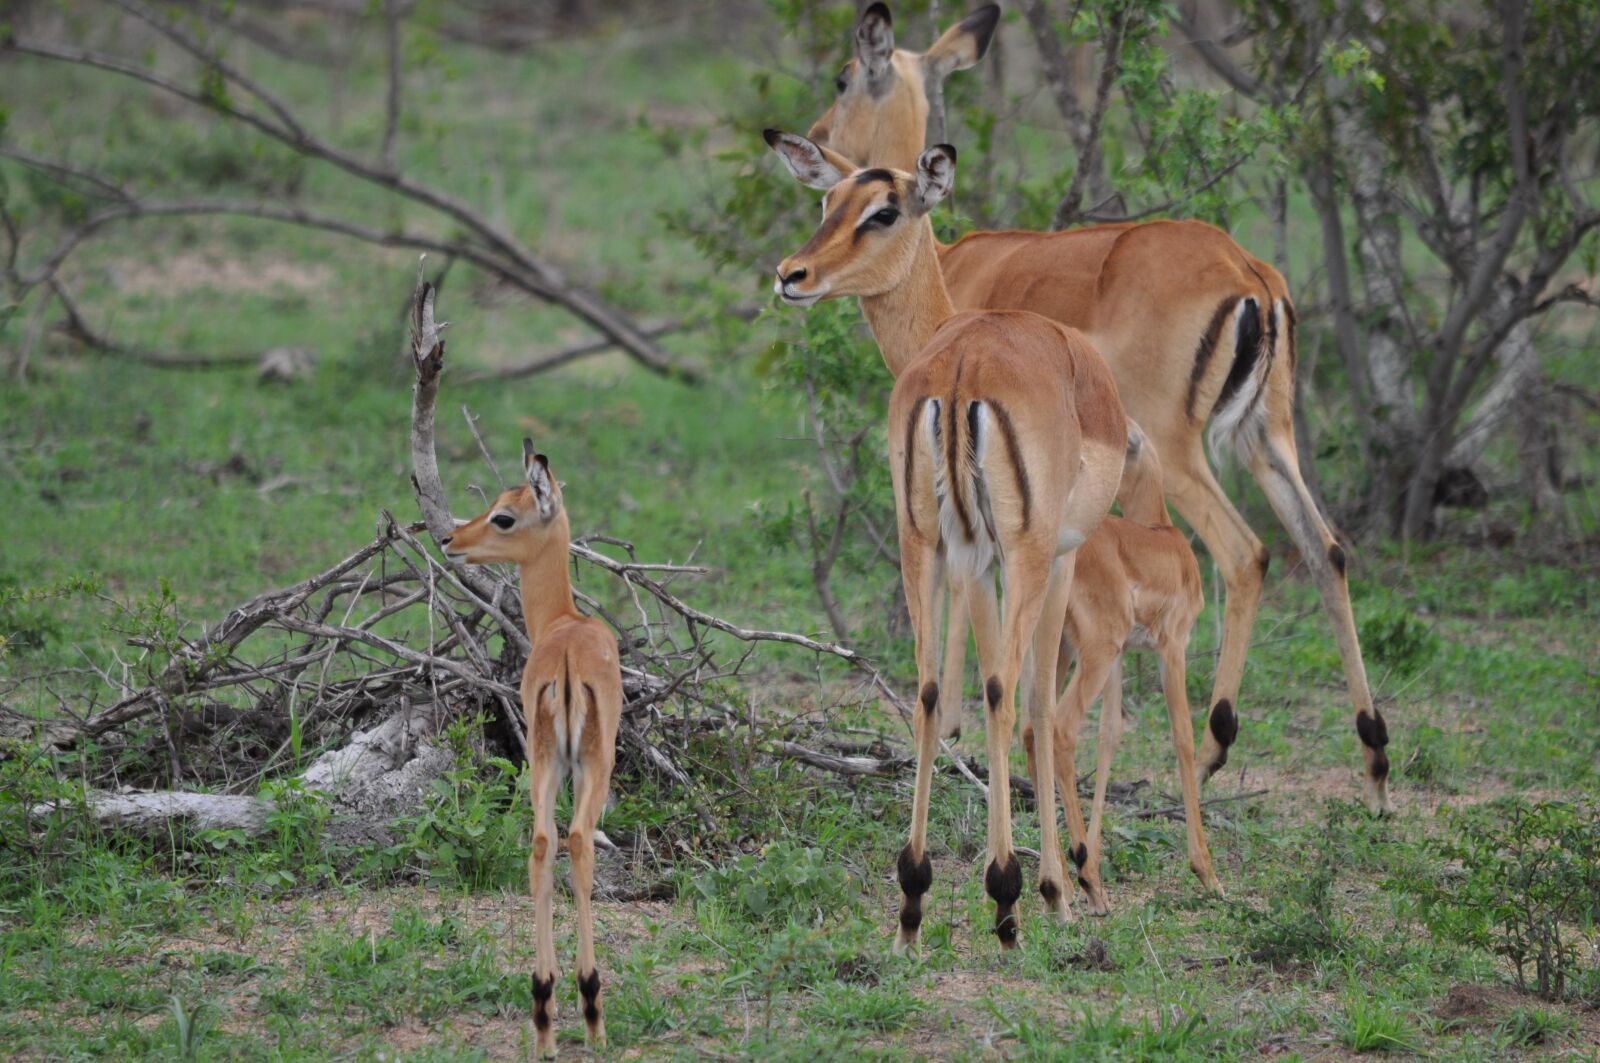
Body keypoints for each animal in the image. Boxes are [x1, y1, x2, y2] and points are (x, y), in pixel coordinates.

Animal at [441, 441, 620, 1058]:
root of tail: (565, 662)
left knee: (542, 844)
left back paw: (543, 1009)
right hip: (589, 768)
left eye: (503, 515)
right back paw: (589, 1011)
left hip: (545, 766)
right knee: (575, 842)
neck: (564, 623)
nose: (450, 539)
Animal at [768, 129, 1127, 946]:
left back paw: (913, 895)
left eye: (881, 210)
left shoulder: (967, 559)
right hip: (1023, 554)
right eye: (827, 204)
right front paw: (1061, 888)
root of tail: (962, 366)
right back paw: (1010, 895)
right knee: (1006, 691)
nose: (791, 275)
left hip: (921, 545)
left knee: (929, 689)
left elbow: (965, 688)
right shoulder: (1051, 555)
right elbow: (1034, 707)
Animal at [803, 2, 1394, 815]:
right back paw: (1374, 763)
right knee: (1325, 548)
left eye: (843, 79)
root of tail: (1249, 271)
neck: (947, 280)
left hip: (1181, 450)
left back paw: (1215, 748)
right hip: (1264, 437)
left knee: (1245, 553)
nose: (812, 138)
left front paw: (953, 731)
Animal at [1019, 423, 1220, 914]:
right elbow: (1183, 736)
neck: (1163, 536)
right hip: (1093, 650)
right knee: (1062, 728)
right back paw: (1079, 879)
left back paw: (1070, 880)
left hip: (1066, 651)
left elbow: (1110, 736)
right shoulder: (1172, 647)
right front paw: (1207, 872)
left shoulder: (1123, 656)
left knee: (1033, 727)